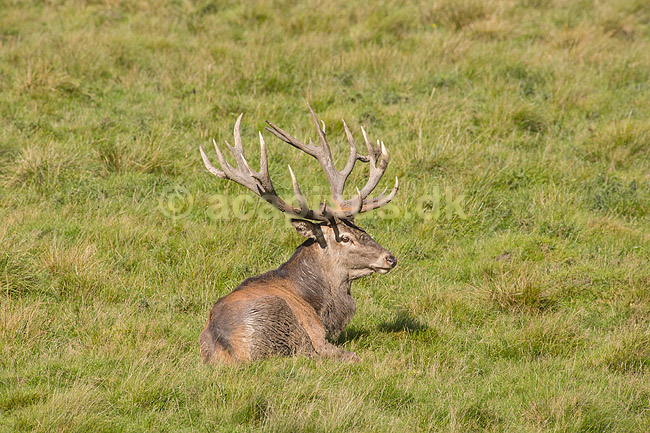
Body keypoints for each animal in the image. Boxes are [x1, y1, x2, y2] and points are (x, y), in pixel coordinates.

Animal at [198, 105, 399, 363]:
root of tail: (229, 350)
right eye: (344, 238)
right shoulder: (315, 331)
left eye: (363, 229)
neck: (318, 302)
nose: (390, 258)